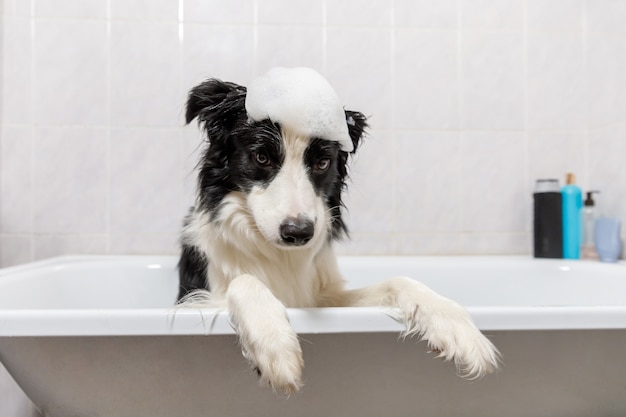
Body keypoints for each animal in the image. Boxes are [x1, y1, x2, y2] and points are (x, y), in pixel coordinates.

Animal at [177, 67, 498, 394]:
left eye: (322, 162)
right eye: (262, 157)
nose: (298, 233)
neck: (278, 255)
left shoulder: (323, 295)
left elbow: (399, 280)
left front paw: (456, 325)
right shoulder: (198, 297)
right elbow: (244, 281)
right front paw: (276, 345)